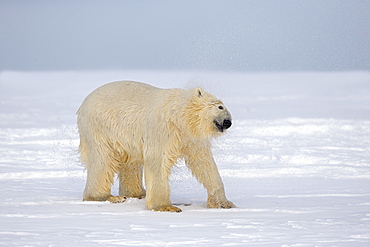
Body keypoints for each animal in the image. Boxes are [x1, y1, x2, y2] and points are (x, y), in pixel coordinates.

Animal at [76, 81, 236, 212]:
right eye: (220, 106)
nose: (228, 122)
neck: (179, 115)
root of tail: (82, 106)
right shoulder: (162, 129)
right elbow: (158, 160)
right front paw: (166, 207)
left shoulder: (190, 137)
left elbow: (203, 163)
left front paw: (223, 203)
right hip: (100, 128)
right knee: (103, 161)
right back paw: (107, 197)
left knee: (130, 162)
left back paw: (137, 193)